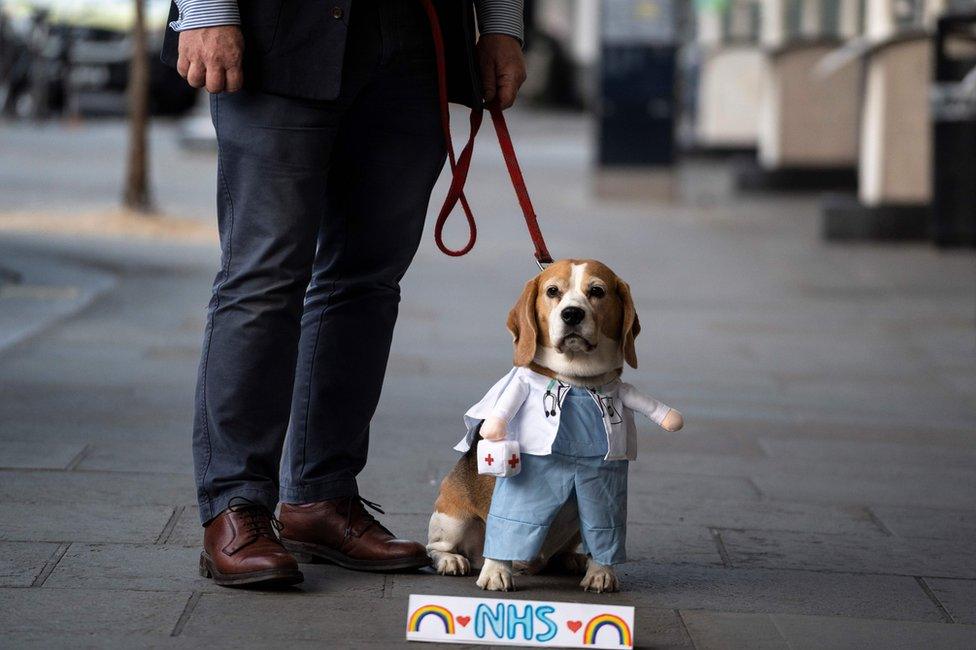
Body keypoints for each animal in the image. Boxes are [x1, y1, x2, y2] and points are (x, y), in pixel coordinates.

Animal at [428, 260, 688, 592]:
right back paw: (453, 560)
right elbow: (505, 525)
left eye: (597, 291)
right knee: (438, 547)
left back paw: (572, 560)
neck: (577, 384)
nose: (572, 314)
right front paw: (496, 573)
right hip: (454, 518)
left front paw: (601, 573)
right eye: (552, 291)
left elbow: (605, 530)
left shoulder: (604, 488)